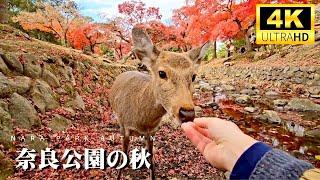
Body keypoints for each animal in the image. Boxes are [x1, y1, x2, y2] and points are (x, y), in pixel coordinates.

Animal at [109, 27, 210, 179]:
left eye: (193, 76)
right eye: (162, 73)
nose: (187, 113)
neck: (141, 120)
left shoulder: (152, 132)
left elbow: (151, 160)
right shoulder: (124, 127)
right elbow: (122, 156)